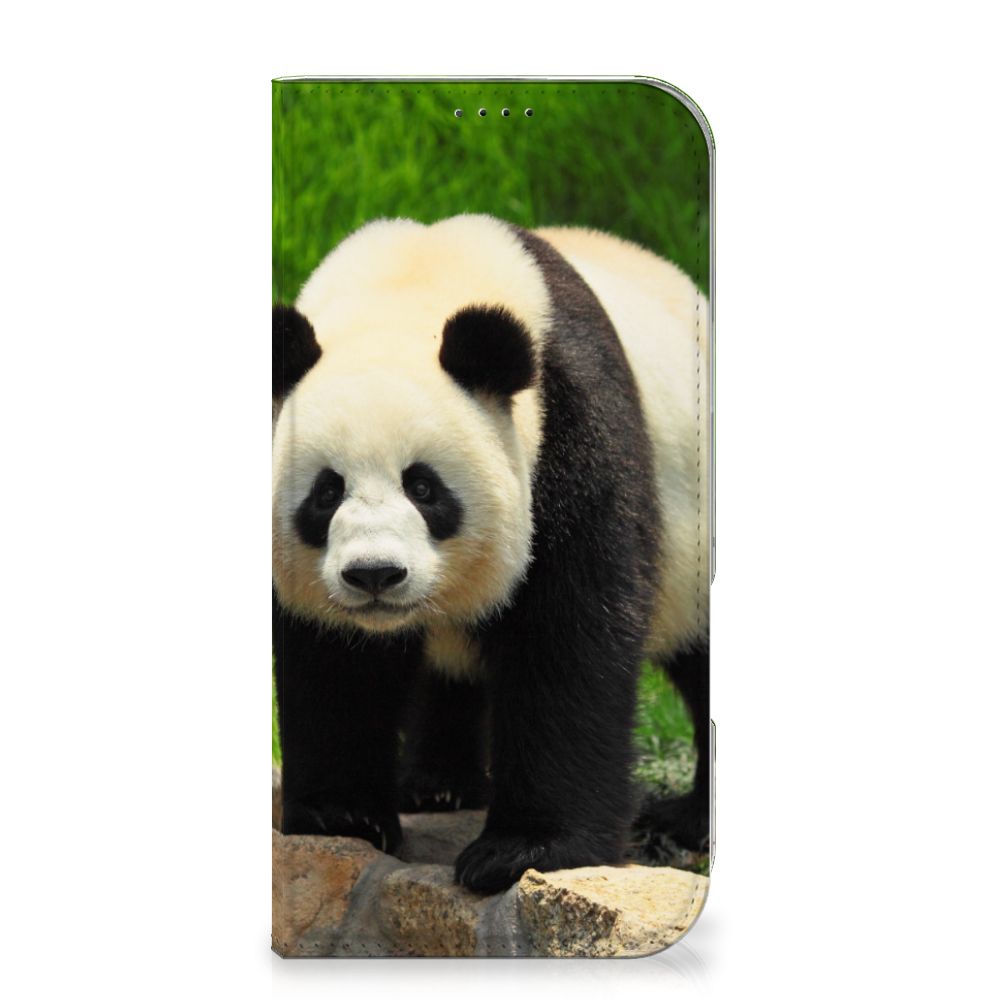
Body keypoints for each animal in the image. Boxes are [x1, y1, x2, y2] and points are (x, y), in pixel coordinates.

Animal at [272, 214, 710, 894]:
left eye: (424, 487)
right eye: (326, 492)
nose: (375, 575)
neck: (409, 288)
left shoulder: (570, 429)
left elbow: (568, 636)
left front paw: (525, 850)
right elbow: (332, 659)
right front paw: (340, 816)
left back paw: (686, 821)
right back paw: (437, 785)